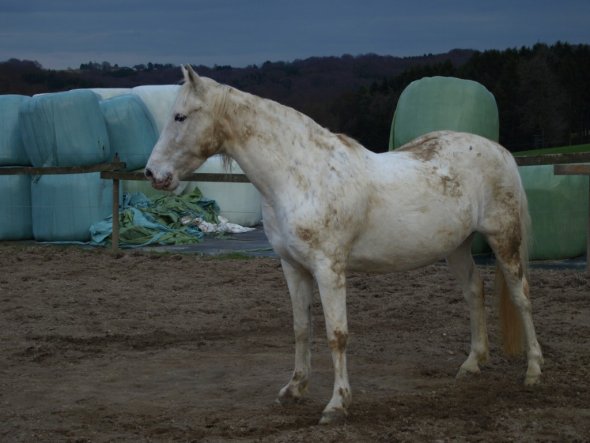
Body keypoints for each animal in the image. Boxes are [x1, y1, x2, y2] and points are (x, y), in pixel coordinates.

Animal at [147, 64, 544, 424]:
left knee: (521, 295)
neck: (301, 176)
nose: (153, 173)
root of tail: (500, 151)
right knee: (474, 290)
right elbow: (301, 328)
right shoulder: (293, 267)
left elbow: (336, 334)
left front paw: (337, 405)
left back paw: (534, 372)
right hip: (456, 246)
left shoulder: (328, 268)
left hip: (504, 238)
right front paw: (294, 389)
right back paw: (472, 364)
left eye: (180, 116)